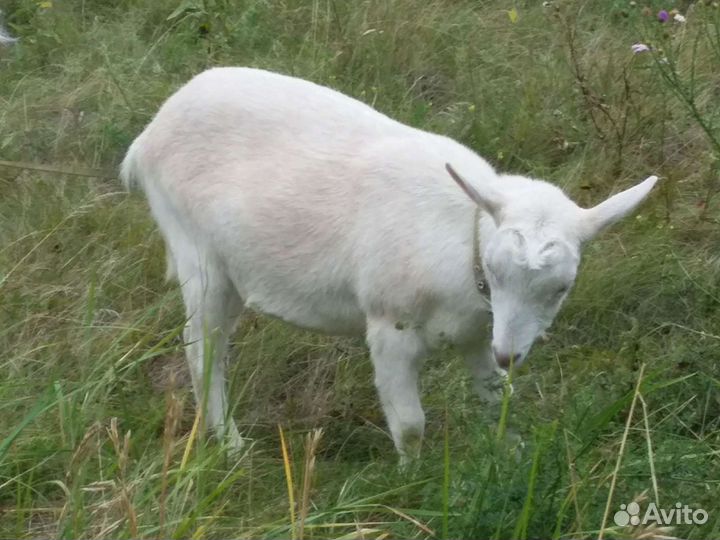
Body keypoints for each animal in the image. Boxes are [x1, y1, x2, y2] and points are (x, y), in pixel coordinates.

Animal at [121, 67, 657, 460]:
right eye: (495, 269)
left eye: (562, 288)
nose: (512, 354)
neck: (464, 244)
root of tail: (149, 134)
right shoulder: (389, 326)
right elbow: (412, 425)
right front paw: (411, 481)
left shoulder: (476, 333)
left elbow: (496, 394)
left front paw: (512, 454)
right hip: (198, 255)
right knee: (203, 349)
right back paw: (230, 446)